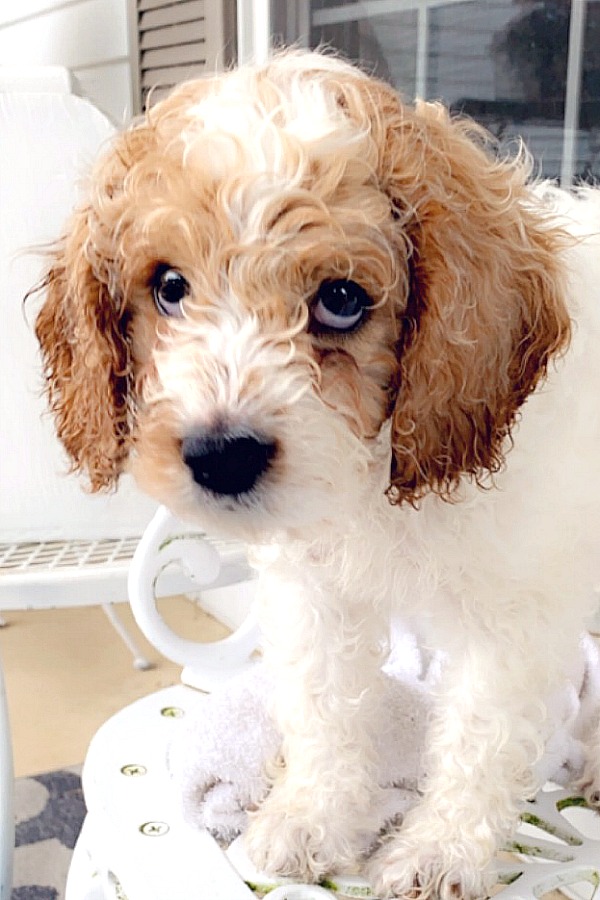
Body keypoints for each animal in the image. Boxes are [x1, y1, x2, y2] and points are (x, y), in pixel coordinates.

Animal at [34, 52, 600, 896]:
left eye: (340, 299)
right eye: (169, 287)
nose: (221, 456)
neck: (379, 484)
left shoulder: (512, 619)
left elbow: (477, 738)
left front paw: (440, 852)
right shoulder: (315, 591)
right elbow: (326, 709)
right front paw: (311, 820)